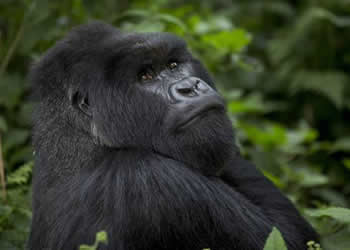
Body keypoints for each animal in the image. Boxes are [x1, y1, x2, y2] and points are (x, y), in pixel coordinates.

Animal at [27, 21, 318, 250]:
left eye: (173, 64)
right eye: (146, 75)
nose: (190, 87)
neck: (85, 139)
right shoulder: (152, 181)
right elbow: (289, 239)